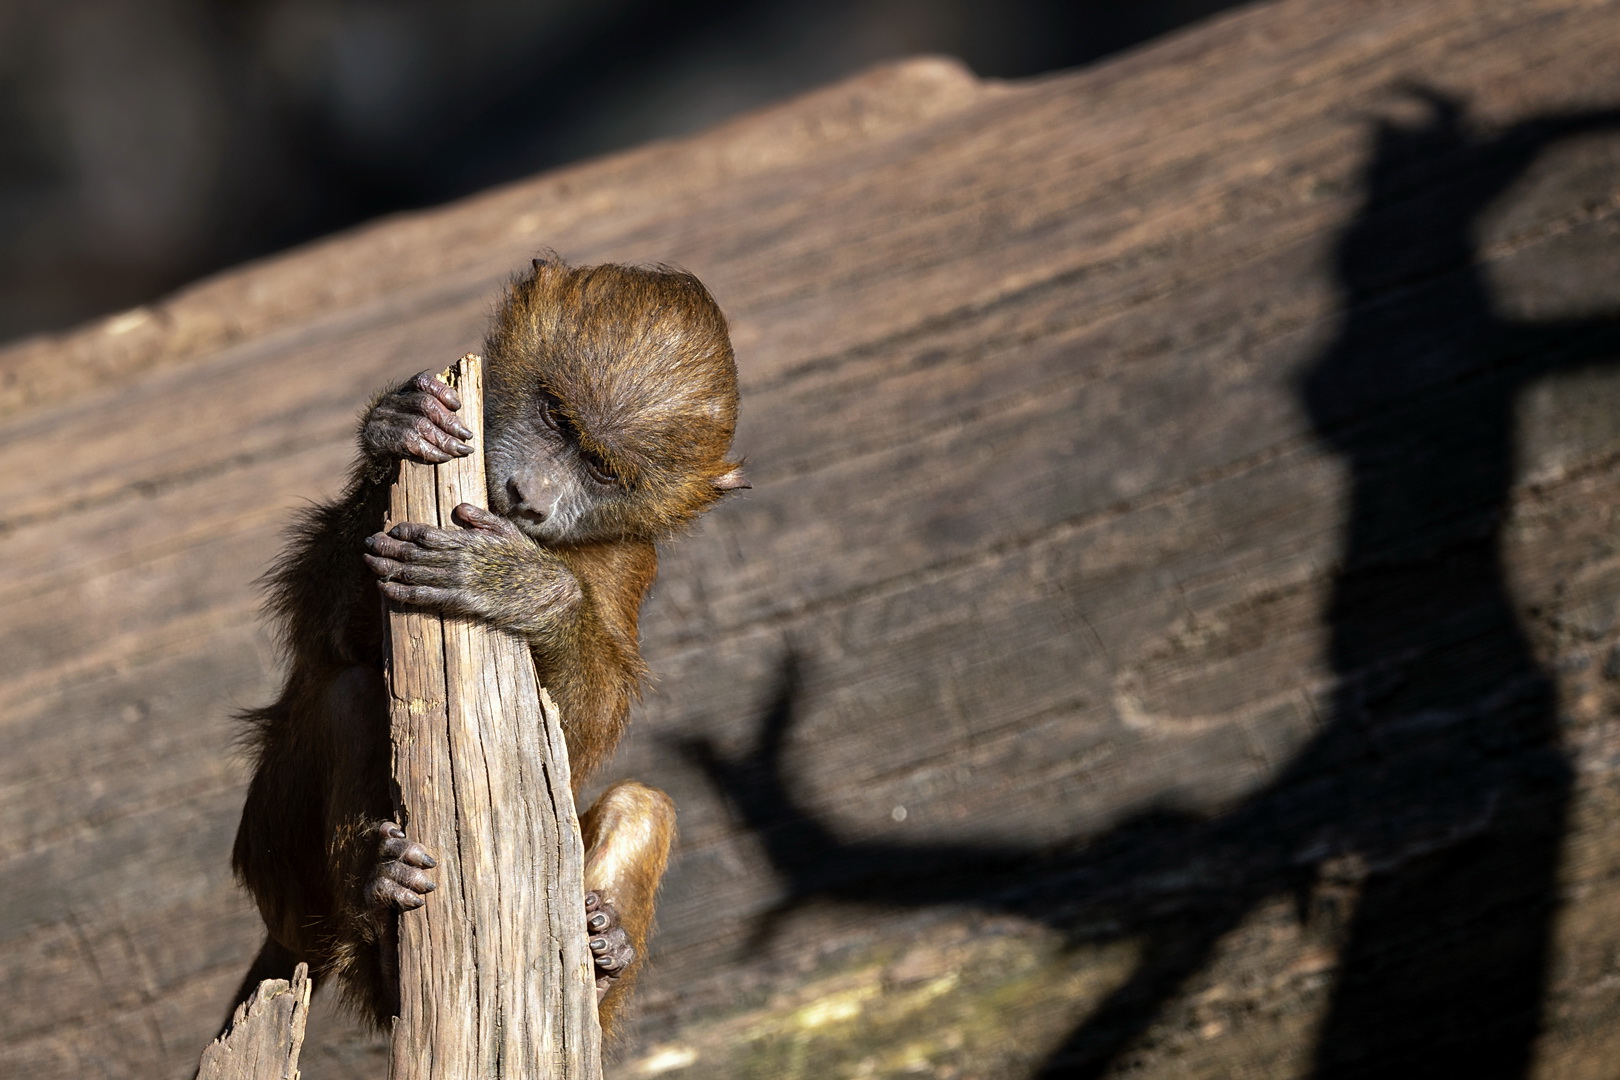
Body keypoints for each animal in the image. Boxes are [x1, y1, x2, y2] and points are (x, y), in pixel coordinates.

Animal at [228, 257, 745, 1036]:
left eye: (603, 469)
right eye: (556, 418)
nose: (528, 496)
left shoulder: (630, 556)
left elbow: (579, 733)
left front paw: (523, 589)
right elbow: (329, 633)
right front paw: (395, 428)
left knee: (641, 804)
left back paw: (602, 955)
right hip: (284, 876)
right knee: (349, 695)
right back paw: (379, 899)